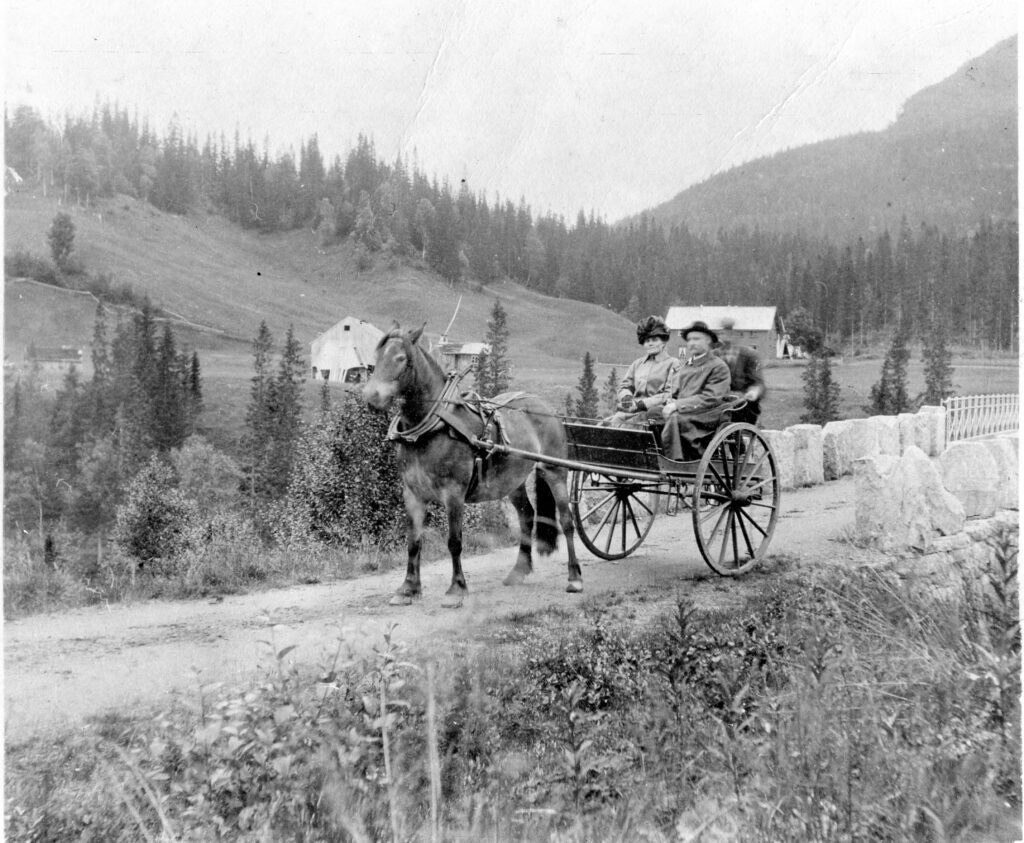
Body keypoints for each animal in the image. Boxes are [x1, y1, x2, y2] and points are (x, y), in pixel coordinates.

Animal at [364, 323, 581, 606]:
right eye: (376, 358)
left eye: (400, 358)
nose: (370, 397)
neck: (432, 427)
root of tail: (545, 406)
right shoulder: (412, 494)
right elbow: (413, 541)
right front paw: (408, 588)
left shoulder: (454, 493)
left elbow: (454, 541)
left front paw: (457, 588)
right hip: (512, 481)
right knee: (526, 516)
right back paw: (519, 570)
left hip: (554, 471)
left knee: (567, 521)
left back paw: (574, 577)